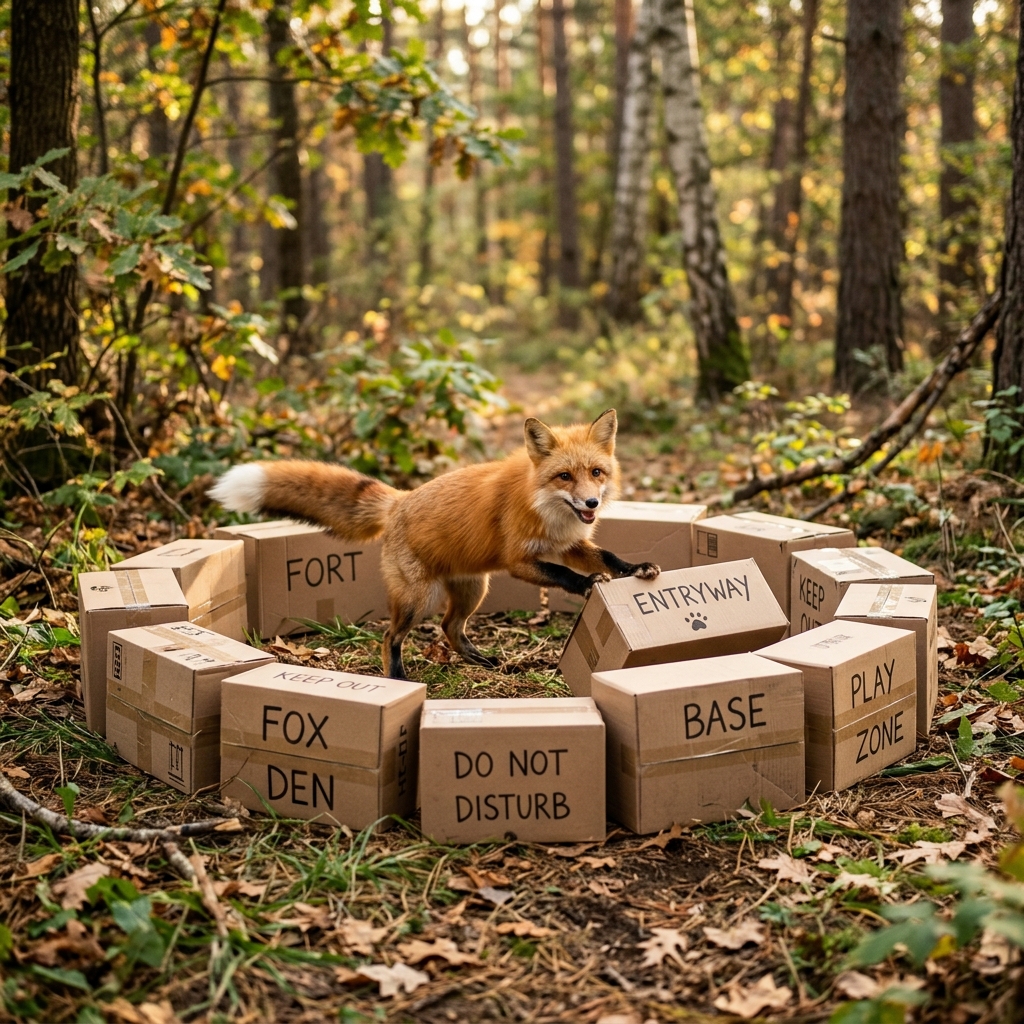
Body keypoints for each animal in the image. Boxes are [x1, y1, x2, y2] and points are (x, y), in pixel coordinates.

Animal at [209, 409, 660, 680]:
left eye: (597, 472)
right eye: (564, 476)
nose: (591, 503)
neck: (545, 507)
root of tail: (399, 499)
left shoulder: (570, 544)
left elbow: (608, 556)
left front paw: (637, 569)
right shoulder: (521, 560)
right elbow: (563, 574)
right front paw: (587, 585)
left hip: (473, 589)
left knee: (450, 629)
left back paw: (486, 661)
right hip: (418, 598)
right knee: (390, 638)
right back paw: (398, 678)